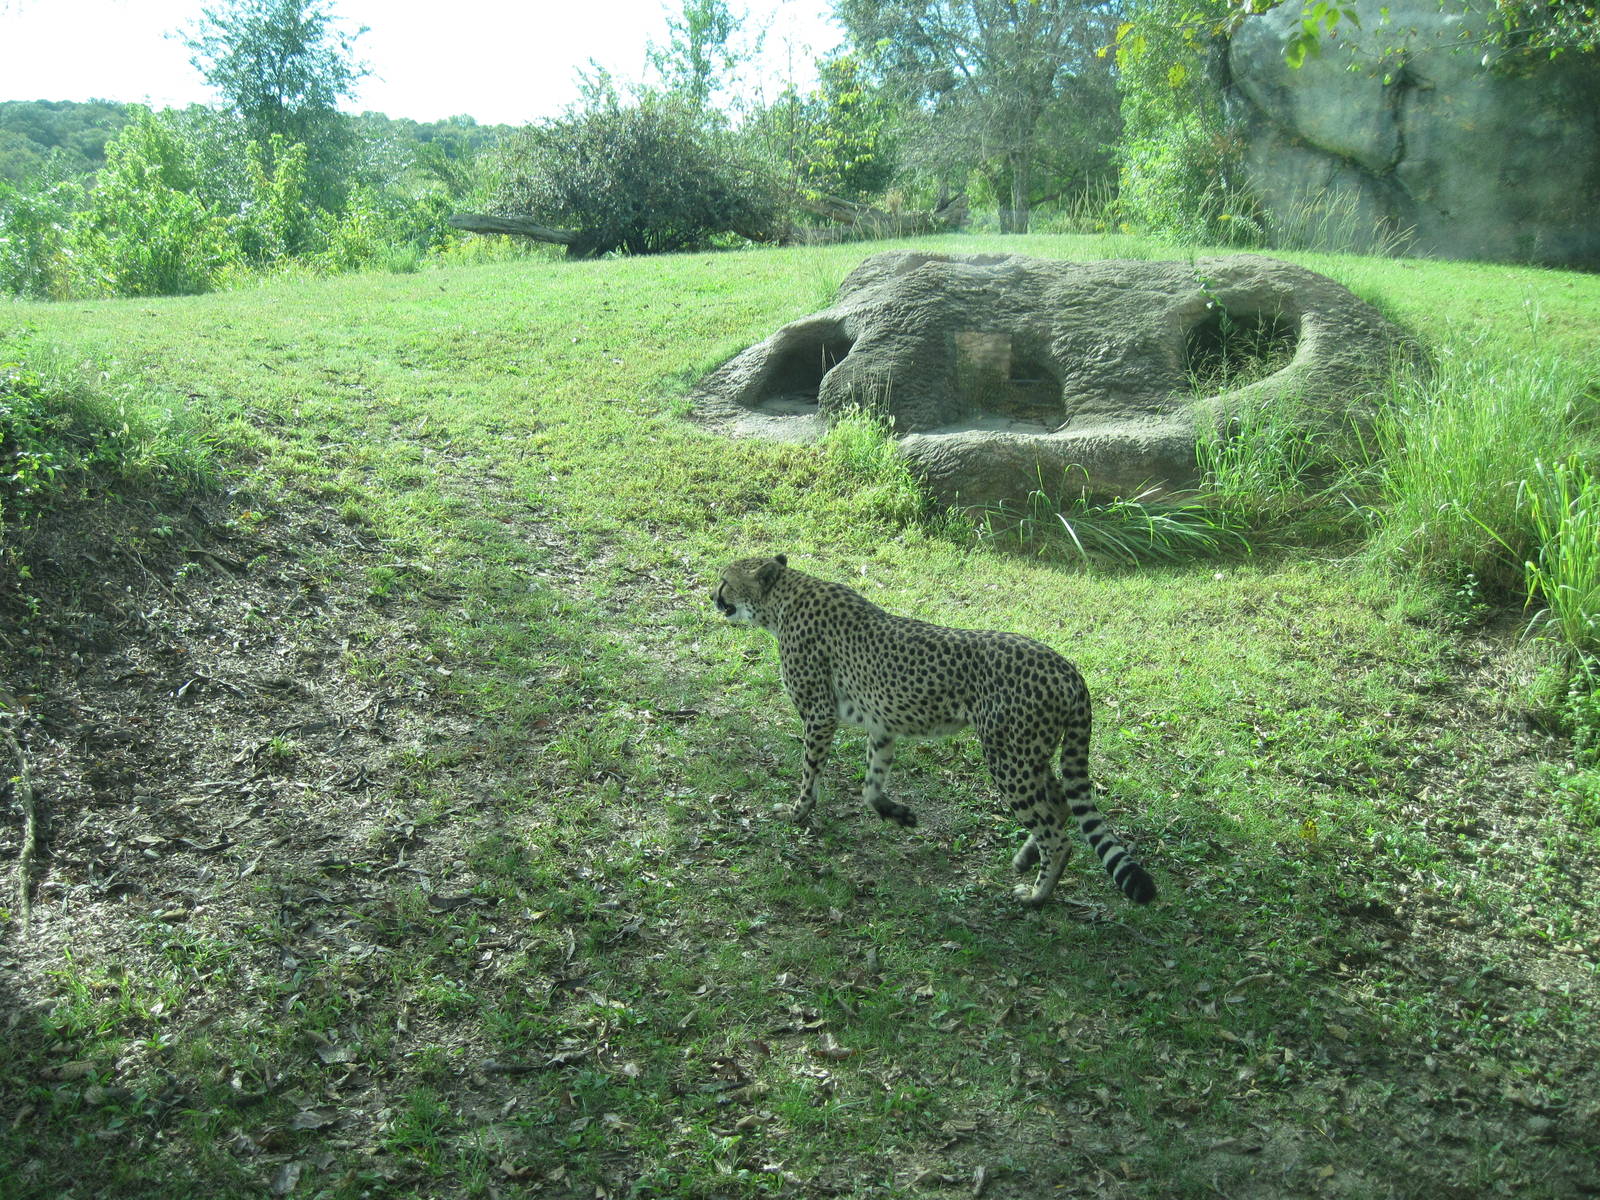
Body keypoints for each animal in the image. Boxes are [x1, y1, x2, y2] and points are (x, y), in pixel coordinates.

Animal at [713, 553, 1156, 909]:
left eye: (726, 581)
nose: (715, 598)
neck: (784, 599)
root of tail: (1067, 668)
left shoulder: (820, 715)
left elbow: (810, 774)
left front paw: (797, 811)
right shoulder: (882, 725)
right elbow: (871, 785)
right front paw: (897, 814)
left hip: (1008, 759)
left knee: (1056, 835)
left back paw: (1036, 896)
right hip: (1029, 754)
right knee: (1061, 806)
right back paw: (1026, 860)